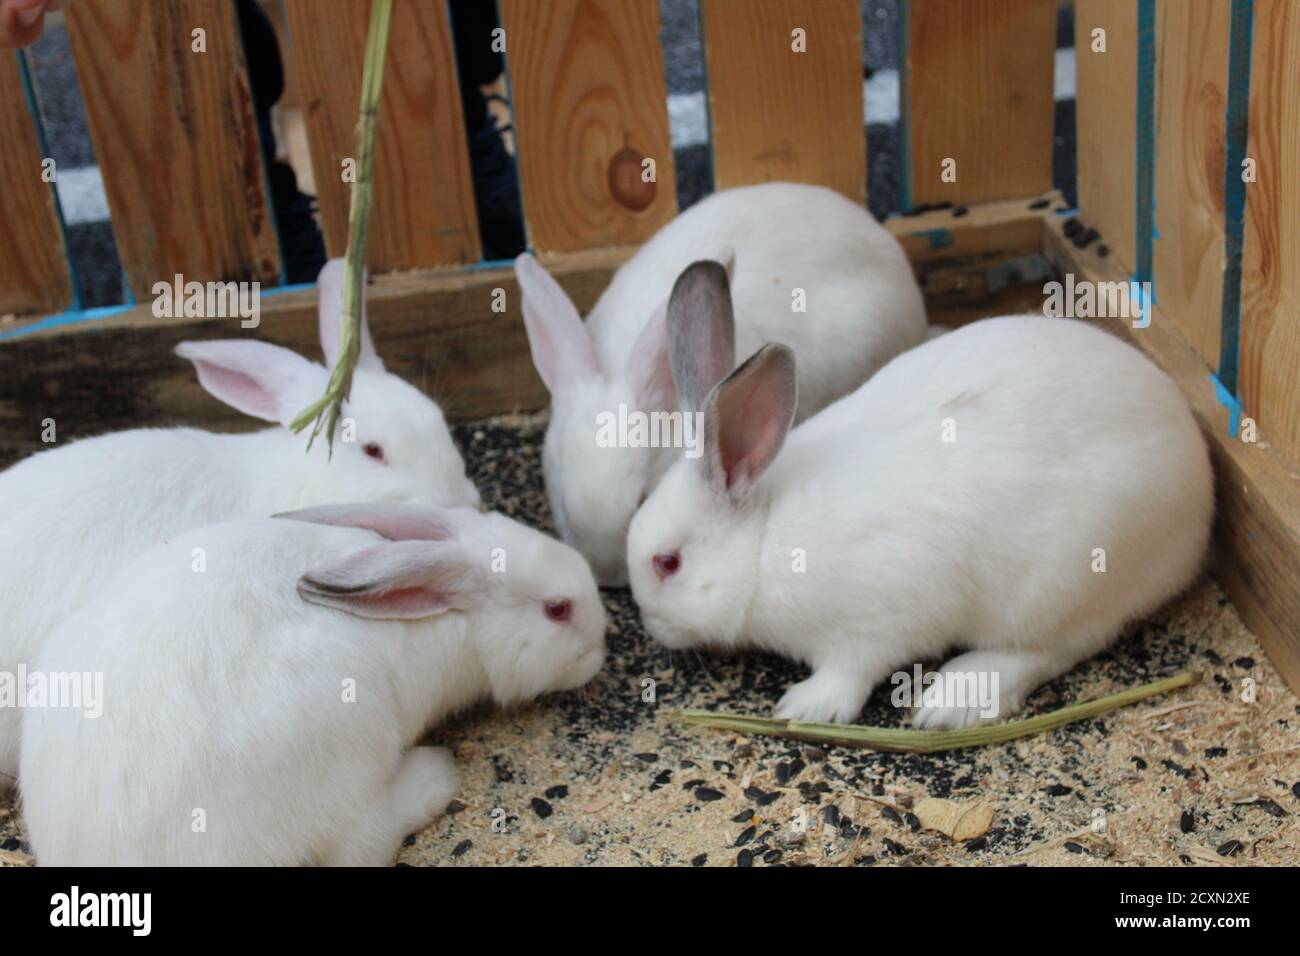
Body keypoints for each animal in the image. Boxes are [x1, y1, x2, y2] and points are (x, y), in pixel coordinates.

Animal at [19, 502, 608, 868]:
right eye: (557, 609)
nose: (601, 653)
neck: (450, 616)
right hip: (349, 748)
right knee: (361, 843)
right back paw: (434, 777)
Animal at [624, 257, 1211, 728]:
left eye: (668, 563)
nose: (651, 627)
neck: (765, 537)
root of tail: (1201, 491)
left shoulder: (876, 623)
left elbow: (852, 671)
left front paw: (805, 707)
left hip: (1065, 580)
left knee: (1055, 648)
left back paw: (951, 702)